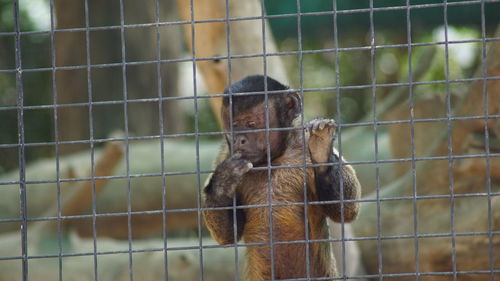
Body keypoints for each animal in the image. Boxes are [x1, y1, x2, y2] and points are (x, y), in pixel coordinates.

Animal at [201, 75, 362, 280]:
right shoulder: (225, 155)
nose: (240, 139)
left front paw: (321, 150)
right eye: (234, 127)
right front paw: (223, 182)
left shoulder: (303, 144)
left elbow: (345, 211)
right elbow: (228, 235)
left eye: (251, 124)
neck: (275, 158)